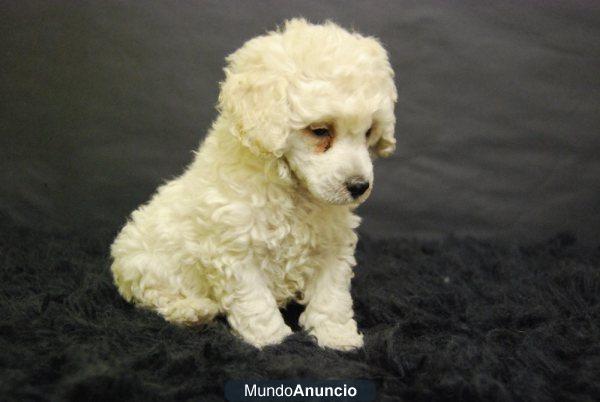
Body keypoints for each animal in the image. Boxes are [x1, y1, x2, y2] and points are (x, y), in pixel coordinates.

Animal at [110, 18, 396, 348]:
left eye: (369, 132)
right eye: (320, 130)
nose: (359, 186)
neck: (293, 191)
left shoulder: (332, 244)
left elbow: (331, 294)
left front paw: (337, 336)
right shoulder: (236, 249)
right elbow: (254, 300)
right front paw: (271, 340)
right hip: (143, 263)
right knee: (155, 296)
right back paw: (192, 310)